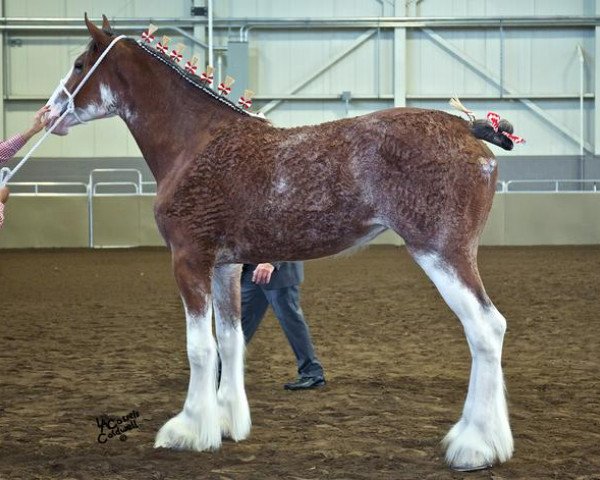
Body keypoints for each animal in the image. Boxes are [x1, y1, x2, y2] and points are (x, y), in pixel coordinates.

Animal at [45, 15, 516, 472]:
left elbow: (200, 348)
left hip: (442, 254)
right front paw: (227, 422)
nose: (49, 113)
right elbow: (230, 340)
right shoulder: (225, 267)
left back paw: (474, 447)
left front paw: (188, 430)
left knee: (486, 329)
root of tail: (469, 128)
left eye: (79, 64)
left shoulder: (189, 260)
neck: (196, 141)